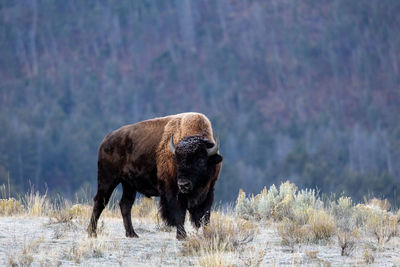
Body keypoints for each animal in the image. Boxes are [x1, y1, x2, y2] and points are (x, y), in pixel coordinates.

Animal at [88, 113, 223, 241]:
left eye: (200, 160)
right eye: (177, 160)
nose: (183, 184)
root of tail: (106, 140)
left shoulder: (209, 191)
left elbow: (205, 216)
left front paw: (207, 234)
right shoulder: (173, 191)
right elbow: (179, 213)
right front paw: (181, 236)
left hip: (128, 185)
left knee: (125, 204)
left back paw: (132, 234)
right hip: (108, 179)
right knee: (100, 202)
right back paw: (92, 233)